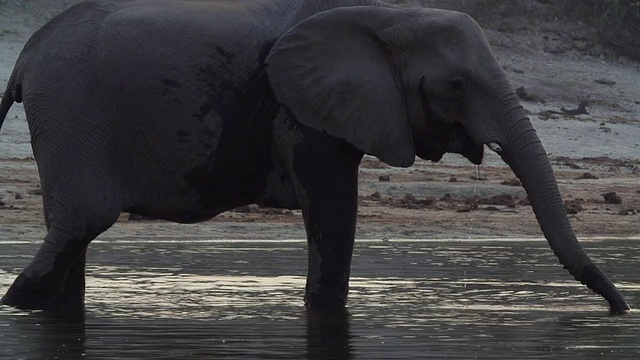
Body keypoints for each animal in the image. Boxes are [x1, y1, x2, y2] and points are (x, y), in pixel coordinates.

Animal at [0, 0, 632, 316]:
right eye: (456, 85)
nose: (621, 309)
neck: (390, 15)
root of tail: (26, 55)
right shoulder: (301, 108)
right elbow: (331, 205)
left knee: (73, 234)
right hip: (73, 106)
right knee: (83, 222)